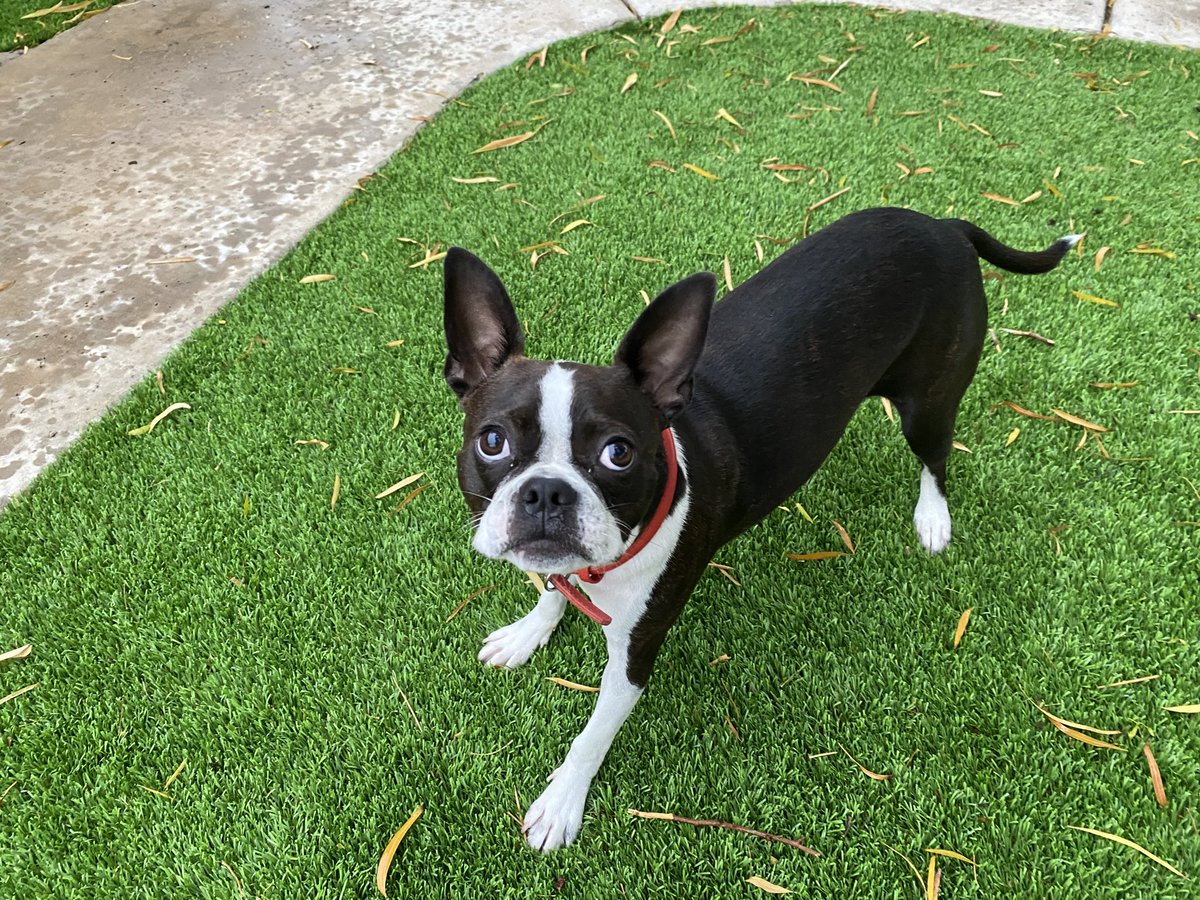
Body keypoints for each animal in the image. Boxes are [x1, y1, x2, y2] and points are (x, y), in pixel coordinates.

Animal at [441, 206, 1080, 854]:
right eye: (491, 441)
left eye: (618, 453)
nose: (547, 491)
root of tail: (943, 224)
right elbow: (552, 589)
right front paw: (529, 631)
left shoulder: (635, 652)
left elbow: (592, 734)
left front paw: (562, 801)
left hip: (928, 401)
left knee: (937, 457)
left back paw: (933, 517)